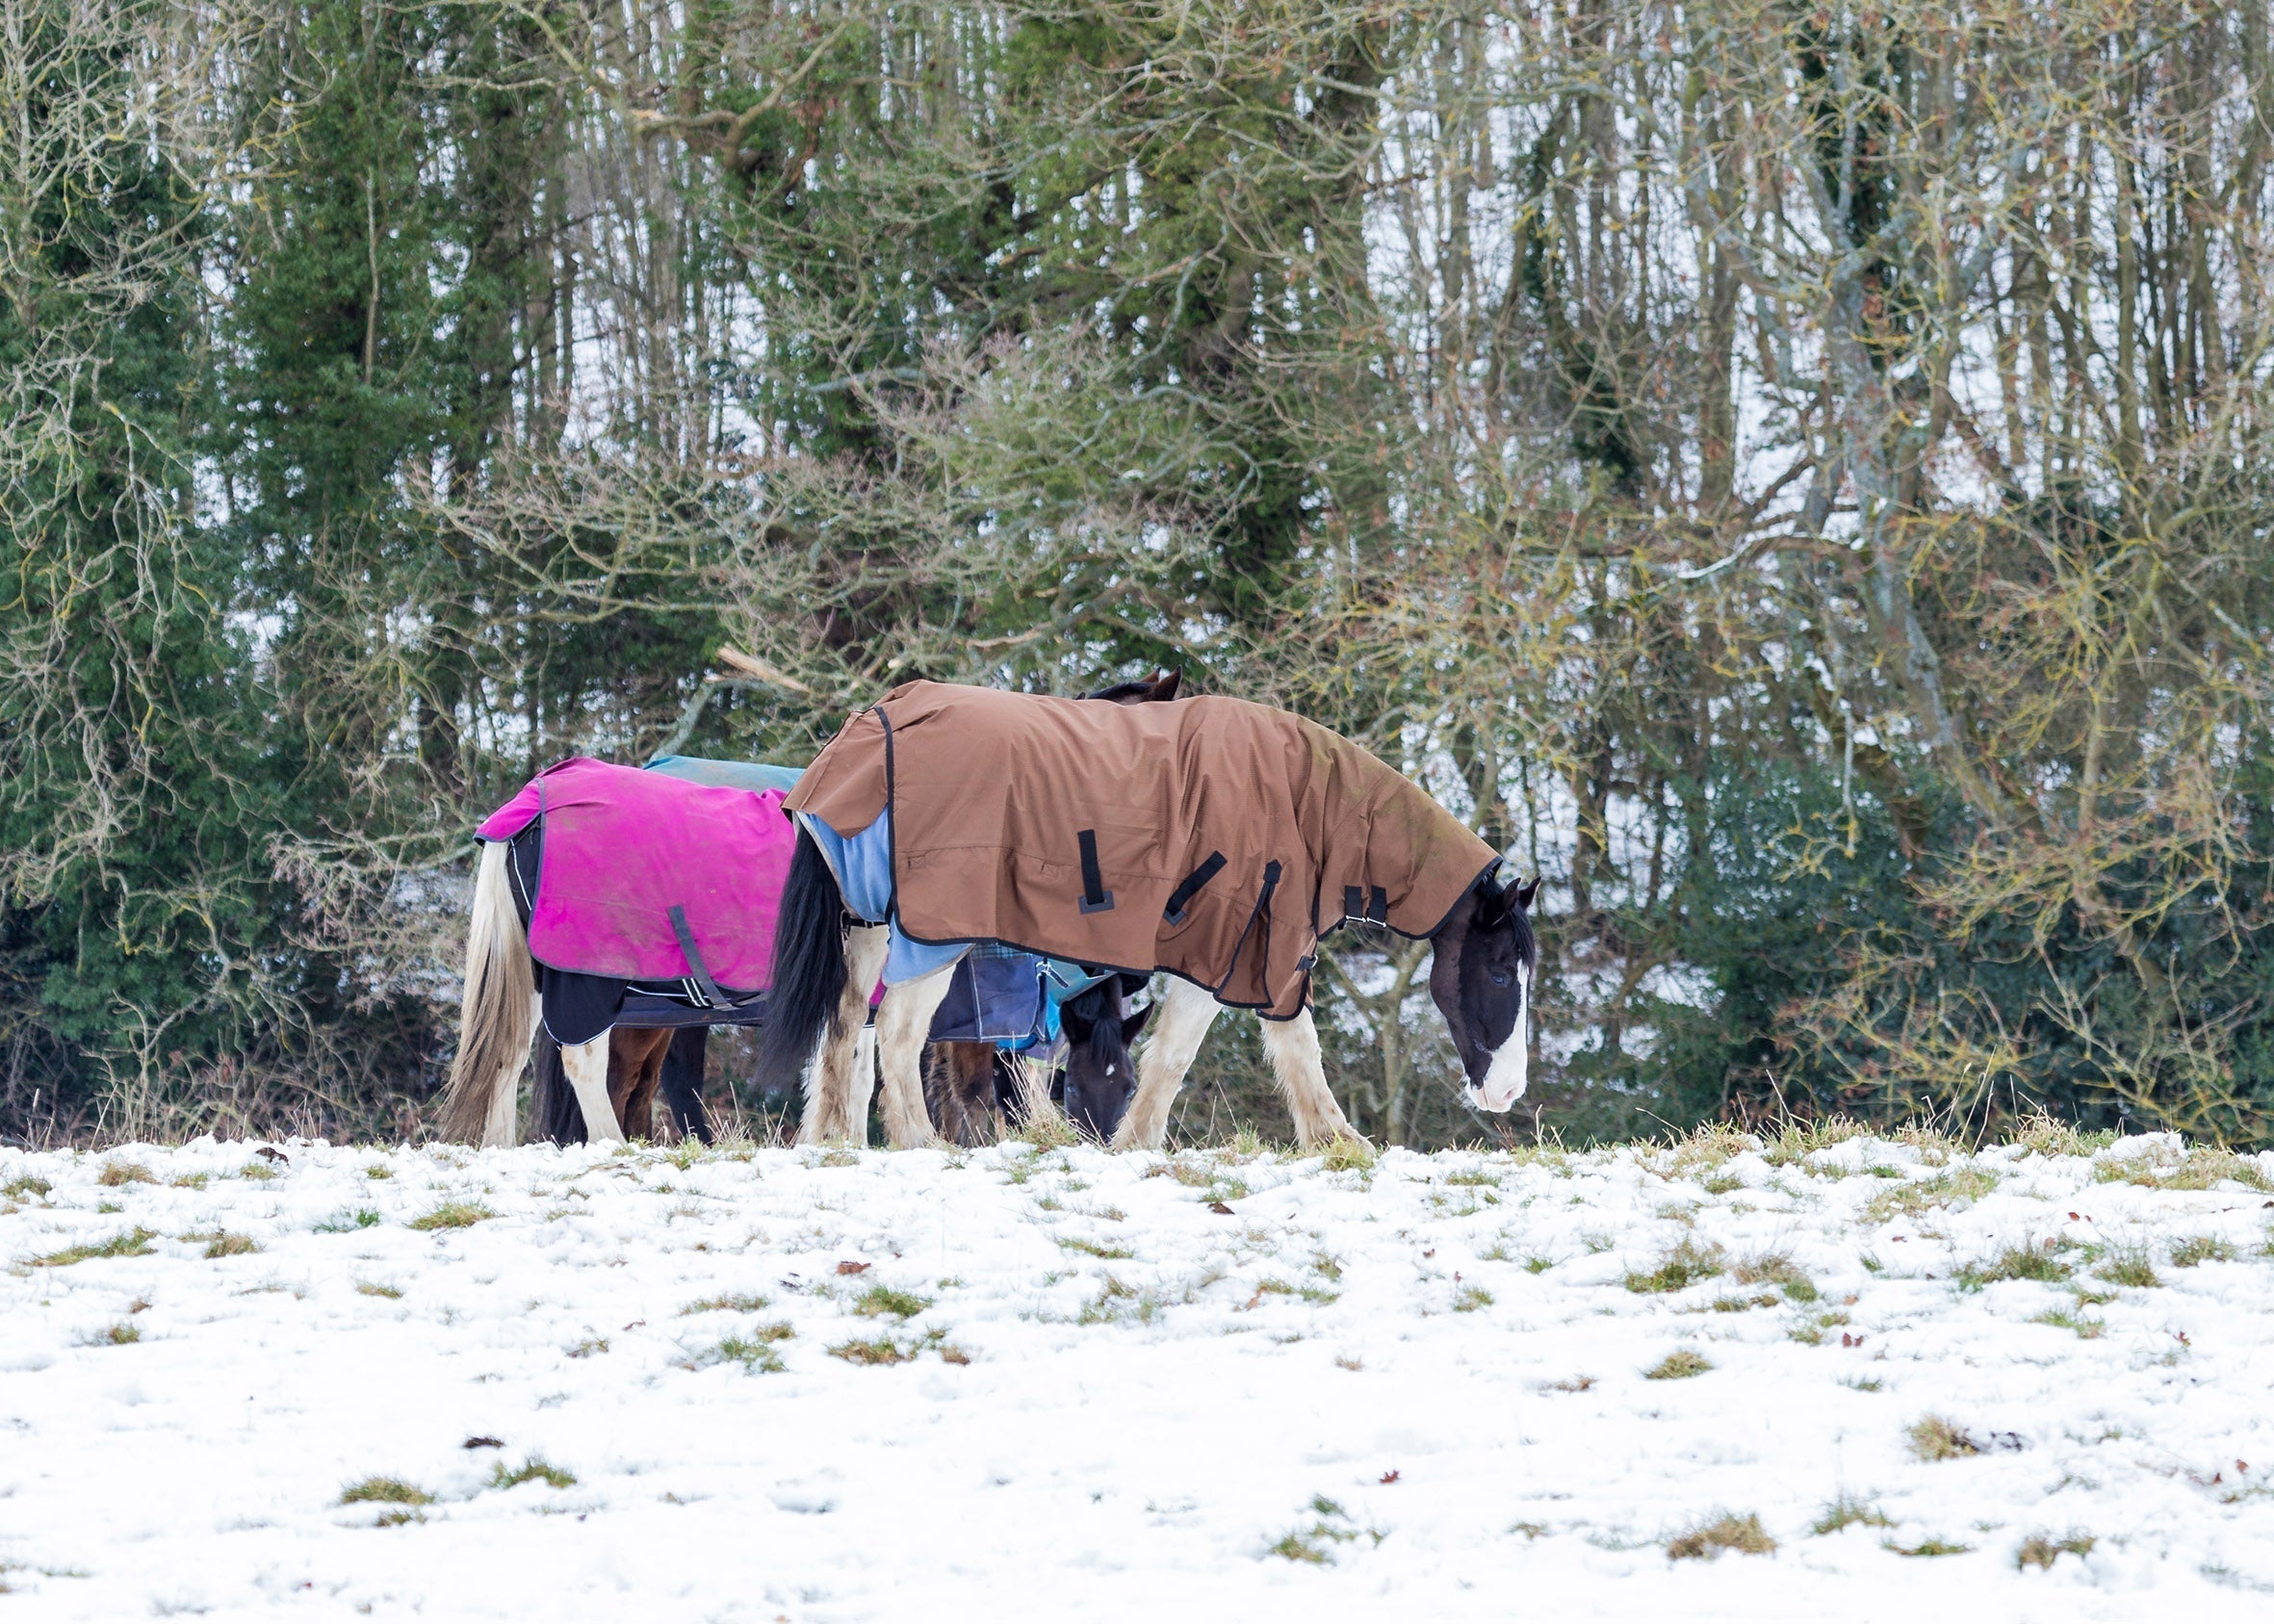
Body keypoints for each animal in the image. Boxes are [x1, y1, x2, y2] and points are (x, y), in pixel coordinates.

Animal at [756, 682, 1539, 1151]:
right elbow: (1229, 1053)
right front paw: (1339, 1141)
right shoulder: (1243, 951)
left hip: (867, 928)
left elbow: (1195, 1057)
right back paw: (919, 1142)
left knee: (843, 1031)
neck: (1308, 801)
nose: (1507, 1092)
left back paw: (834, 1141)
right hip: (932, 936)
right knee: (894, 1032)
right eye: (1503, 971)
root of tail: (868, 728)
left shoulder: (1235, 953)